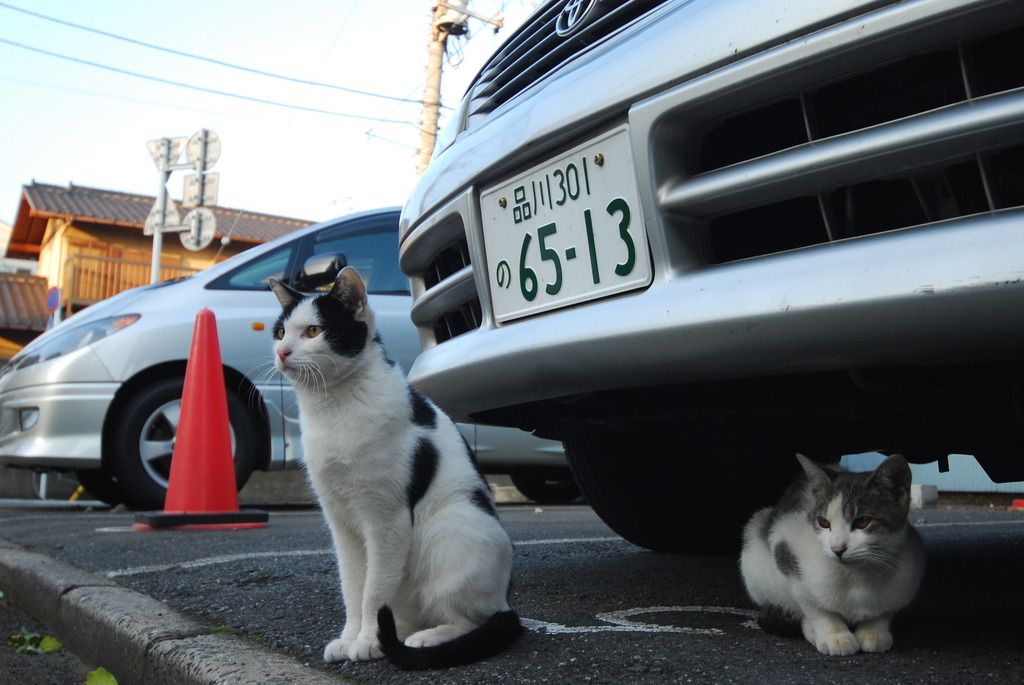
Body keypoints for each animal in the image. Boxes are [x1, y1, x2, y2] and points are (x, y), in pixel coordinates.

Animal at [268, 266, 520, 667]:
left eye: (313, 331)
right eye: (279, 332)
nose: (281, 351)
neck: (333, 407)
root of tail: (506, 599)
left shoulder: (387, 522)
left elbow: (374, 591)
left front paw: (368, 641)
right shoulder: (341, 524)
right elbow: (353, 586)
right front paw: (349, 638)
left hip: (450, 527)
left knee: (469, 619)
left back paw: (425, 638)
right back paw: (401, 632)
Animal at [741, 450, 925, 655]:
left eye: (863, 522)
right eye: (824, 522)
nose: (837, 549)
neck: (858, 576)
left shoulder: (911, 569)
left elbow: (885, 611)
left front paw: (874, 632)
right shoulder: (785, 547)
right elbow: (813, 607)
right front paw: (834, 635)